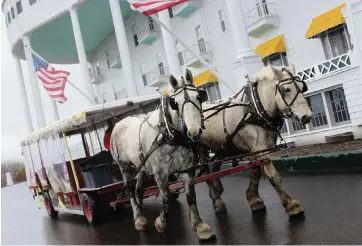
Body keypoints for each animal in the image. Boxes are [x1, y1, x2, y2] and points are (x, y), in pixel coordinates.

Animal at [199, 65, 312, 217]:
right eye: (287, 89)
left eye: (302, 87)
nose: (307, 116)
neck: (255, 110)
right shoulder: (260, 149)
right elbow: (274, 176)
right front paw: (291, 205)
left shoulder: (257, 149)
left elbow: (256, 172)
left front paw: (254, 199)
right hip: (201, 150)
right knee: (206, 172)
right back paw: (217, 201)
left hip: (222, 148)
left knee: (214, 168)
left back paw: (217, 190)